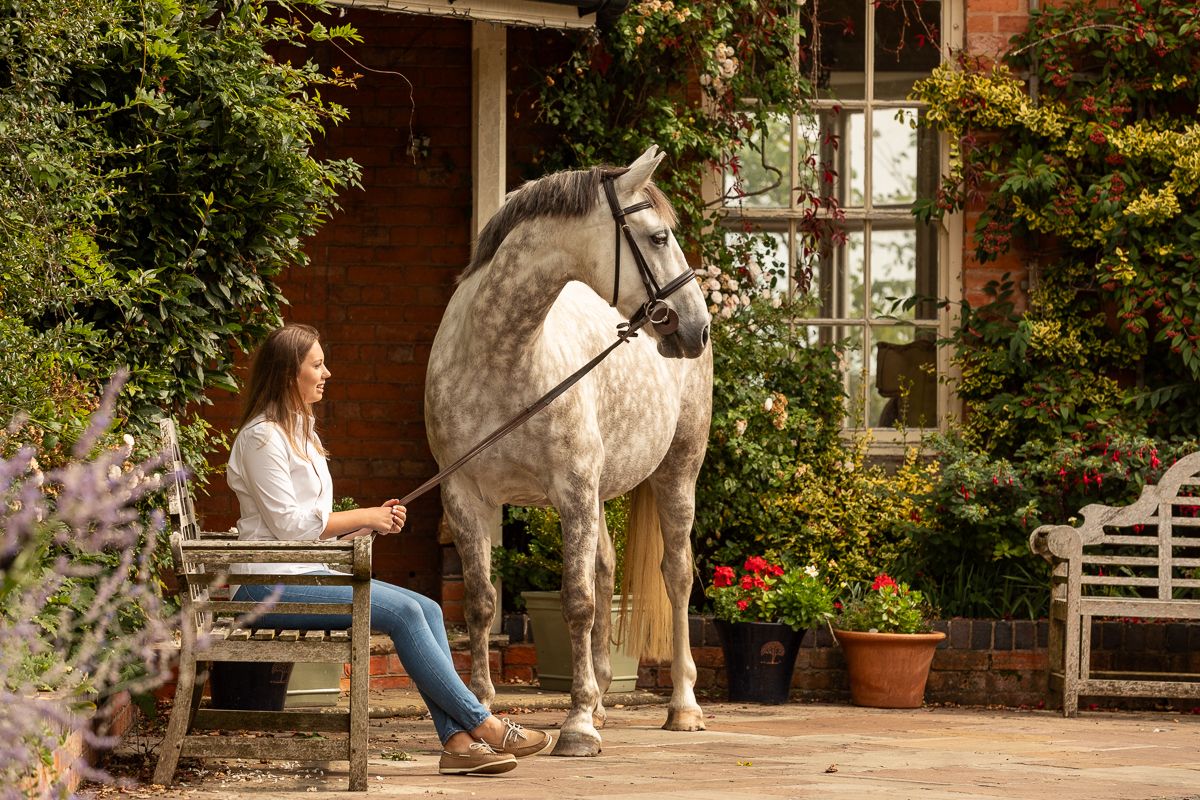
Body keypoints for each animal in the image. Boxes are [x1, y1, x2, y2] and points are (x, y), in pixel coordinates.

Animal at [424, 146, 712, 756]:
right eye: (657, 237)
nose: (697, 327)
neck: (502, 355)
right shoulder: (464, 495)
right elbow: (481, 602)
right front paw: (483, 709)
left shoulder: (573, 489)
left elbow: (577, 601)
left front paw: (577, 726)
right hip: (600, 493)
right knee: (605, 568)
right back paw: (602, 697)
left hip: (678, 470)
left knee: (676, 574)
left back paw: (682, 706)